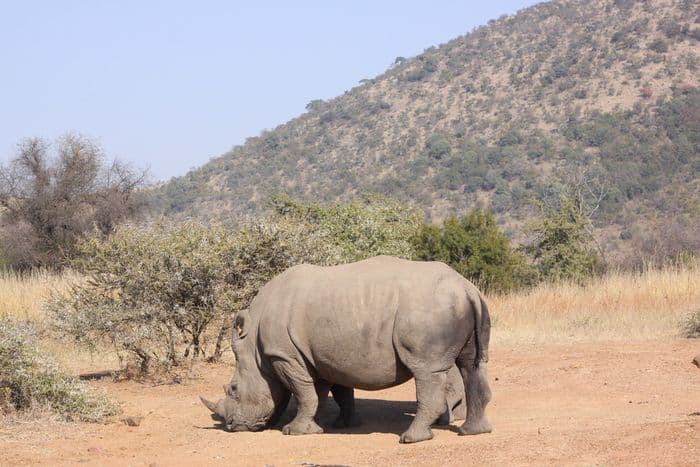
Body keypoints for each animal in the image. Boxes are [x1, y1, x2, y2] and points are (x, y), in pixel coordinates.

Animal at [201, 256, 492, 443]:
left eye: (234, 389)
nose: (232, 426)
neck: (255, 349)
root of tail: (468, 288)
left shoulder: (284, 356)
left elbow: (303, 392)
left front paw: (295, 432)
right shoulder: (323, 357)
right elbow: (330, 392)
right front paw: (340, 425)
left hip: (429, 311)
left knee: (427, 372)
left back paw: (411, 438)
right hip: (454, 304)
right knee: (471, 365)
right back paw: (472, 432)